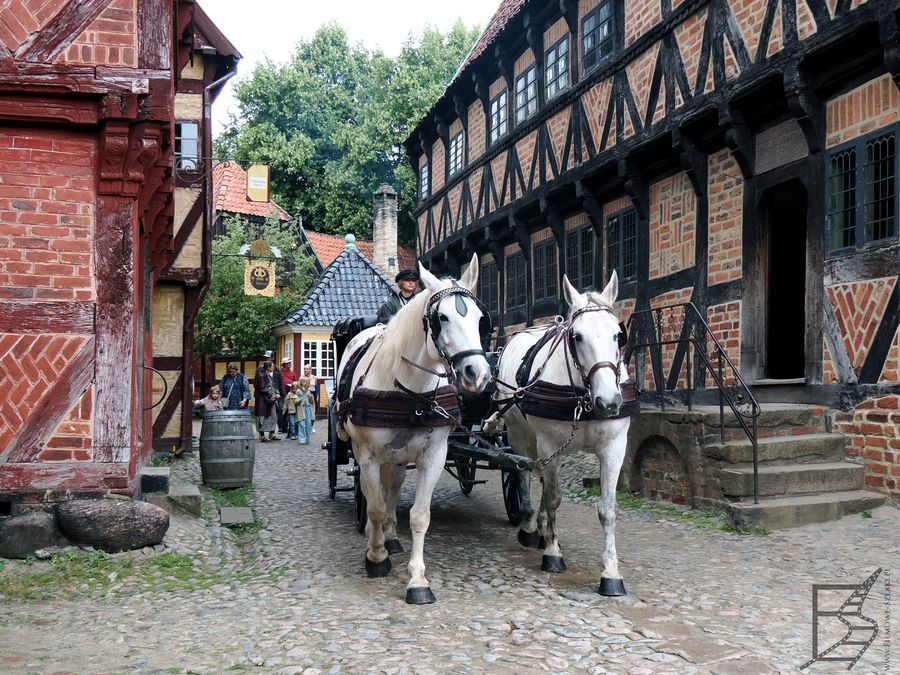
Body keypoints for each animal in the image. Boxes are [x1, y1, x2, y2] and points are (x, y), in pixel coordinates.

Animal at [336, 256, 492, 604]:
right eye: (441, 317)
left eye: (479, 318)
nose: (477, 374)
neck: (409, 390)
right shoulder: (367, 456)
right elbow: (375, 507)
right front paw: (376, 557)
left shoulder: (433, 457)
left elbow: (419, 517)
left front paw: (418, 580)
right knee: (373, 495)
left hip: (398, 455)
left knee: (393, 488)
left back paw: (392, 537)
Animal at [492, 272, 632, 596]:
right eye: (577, 336)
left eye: (618, 335)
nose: (609, 402)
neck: (584, 396)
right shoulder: (549, 443)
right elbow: (554, 497)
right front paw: (553, 554)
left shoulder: (614, 448)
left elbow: (608, 509)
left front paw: (611, 573)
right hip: (520, 433)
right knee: (522, 474)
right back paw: (530, 528)